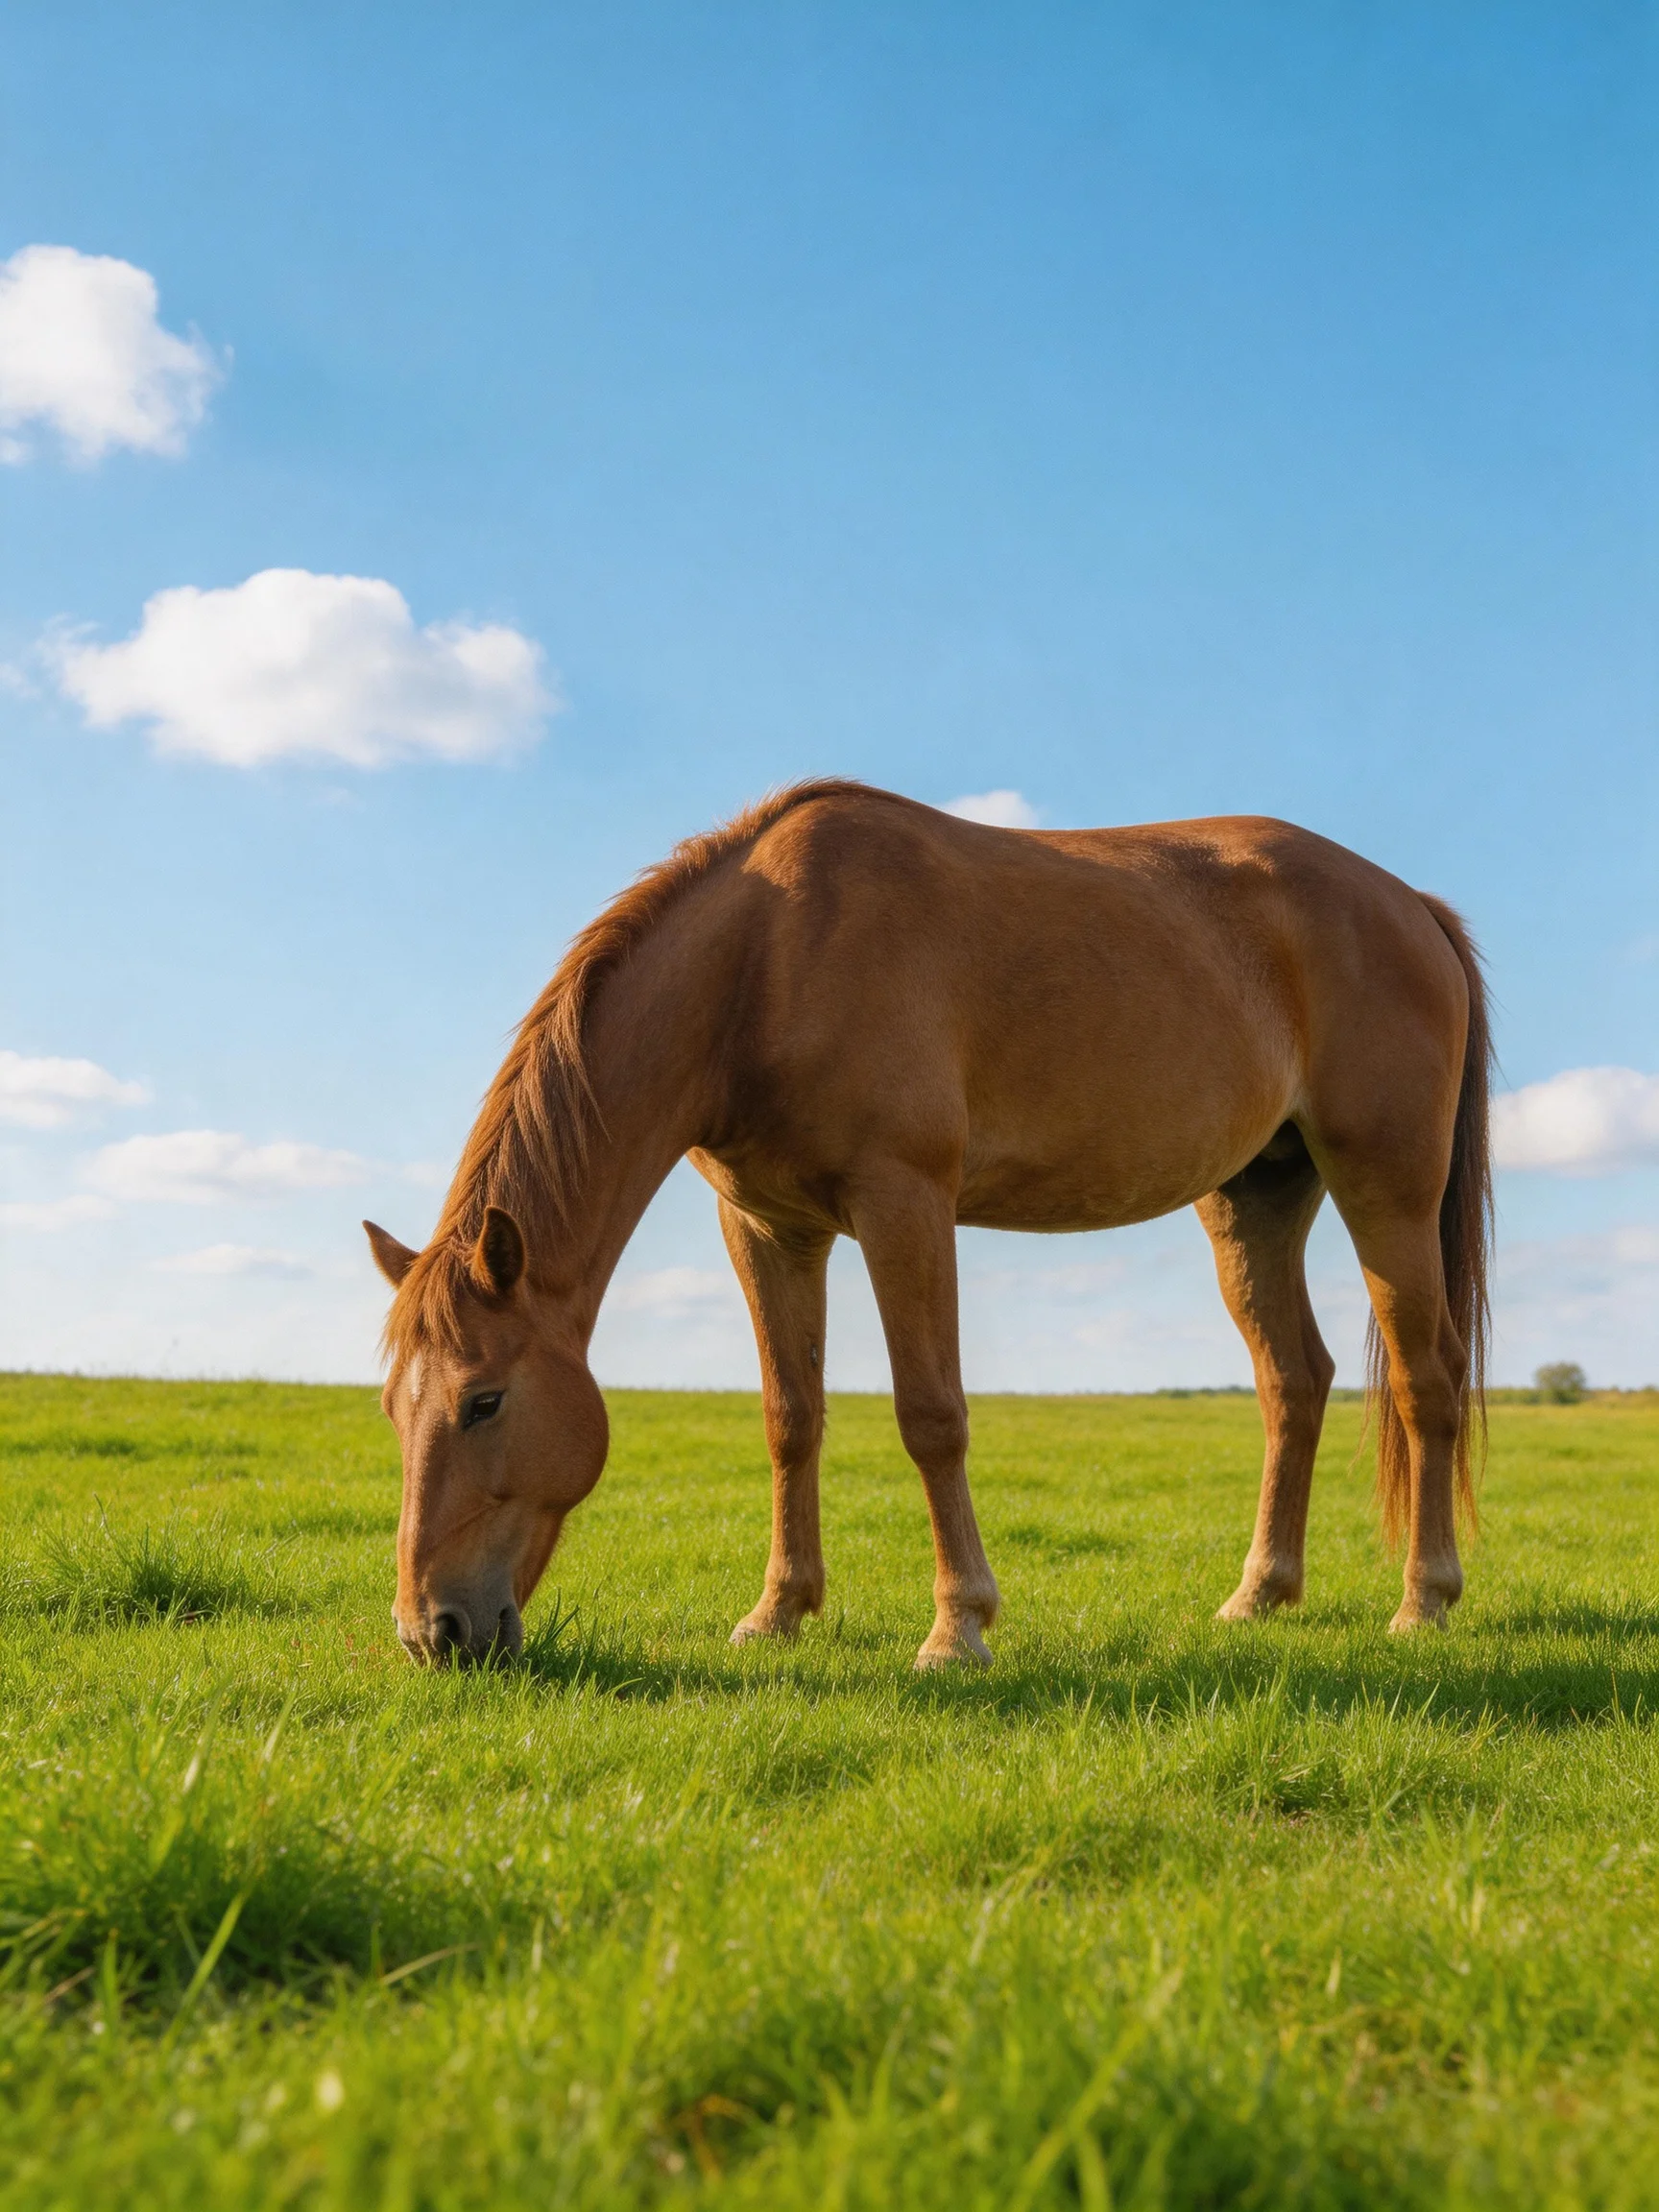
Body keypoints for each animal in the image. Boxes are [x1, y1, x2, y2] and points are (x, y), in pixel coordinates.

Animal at [366, 779, 1491, 1669]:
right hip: (1254, 1200)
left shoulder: (903, 1202)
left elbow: (931, 1415)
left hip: (1385, 1189)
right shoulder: (767, 1227)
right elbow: (791, 1418)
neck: (767, 960)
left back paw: (1424, 1601)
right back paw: (1260, 1594)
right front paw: (778, 1612)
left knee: (1426, 1381)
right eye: (391, 1409)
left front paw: (958, 1630)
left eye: (484, 1401)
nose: (432, 1632)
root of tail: (1412, 905)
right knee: (1293, 1380)